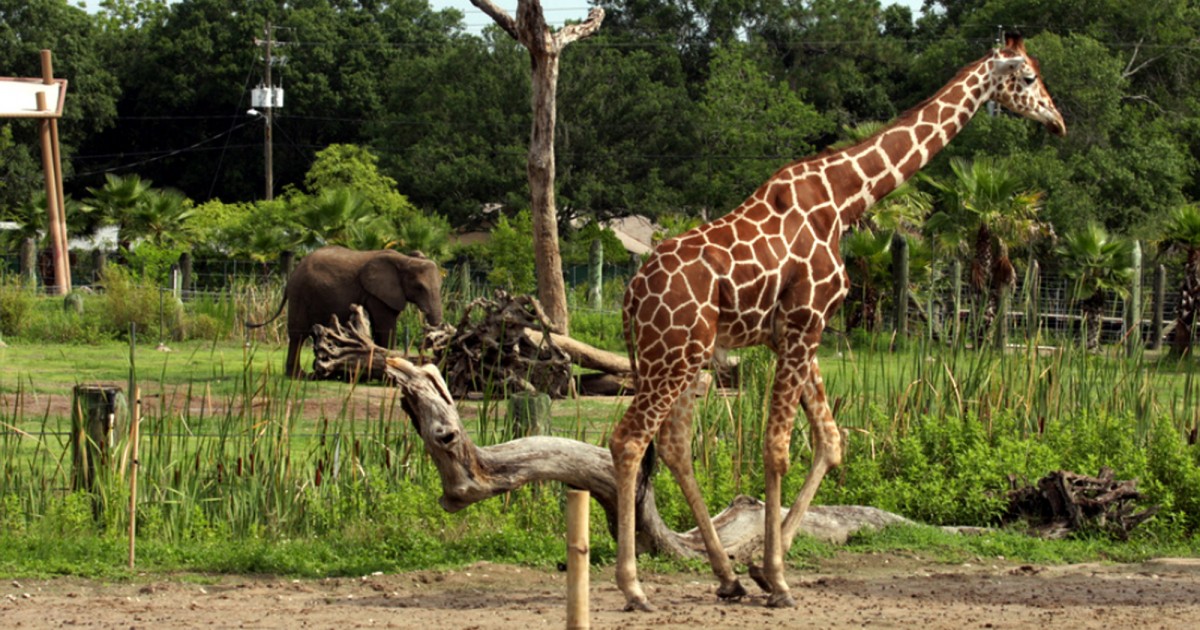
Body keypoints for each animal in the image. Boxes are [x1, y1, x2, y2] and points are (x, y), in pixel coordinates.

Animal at [248, 244, 446, 374]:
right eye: (419, 287)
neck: (404, 260)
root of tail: (291, 277)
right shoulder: (380, 293)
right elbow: (386, 324)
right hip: (300, 294)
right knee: (298, 334)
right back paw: (298, 376)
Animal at [614, 33, 1065, 609]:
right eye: (1028, 78)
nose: (1057, 121)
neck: (846, 197)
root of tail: (630, 297)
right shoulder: (804, 323)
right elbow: (778, 448)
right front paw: (778, 579)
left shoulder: (799, 331)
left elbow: (830, 442)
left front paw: (762, 569)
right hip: (672, 355)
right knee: (629, 441)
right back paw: (634, 588)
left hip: (686, 357)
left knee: (673, 446)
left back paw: (727, 578)